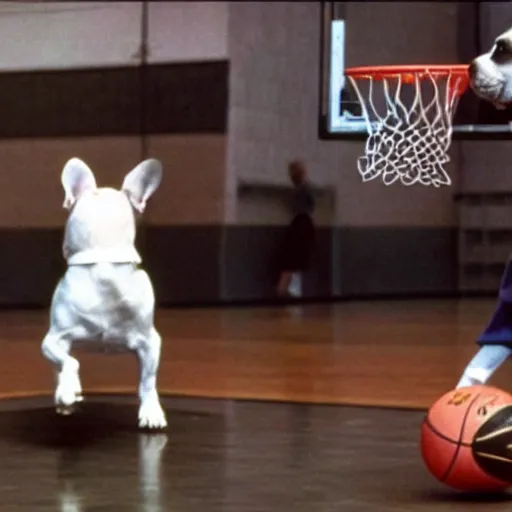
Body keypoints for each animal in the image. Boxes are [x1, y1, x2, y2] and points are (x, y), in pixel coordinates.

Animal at [41, 158, 168, 430]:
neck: (103, 259)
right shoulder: (54, 339)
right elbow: (69, 361)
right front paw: (68, 390)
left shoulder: (150, 342)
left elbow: (147, 380)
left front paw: (151, 410)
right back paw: (64, 395)